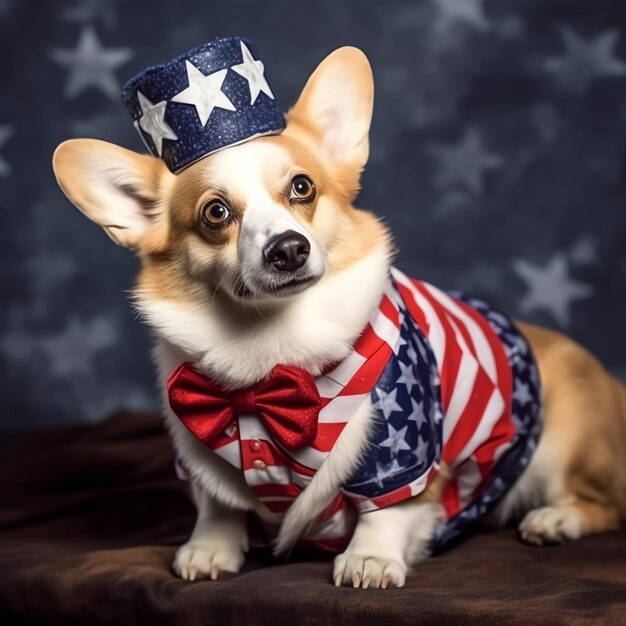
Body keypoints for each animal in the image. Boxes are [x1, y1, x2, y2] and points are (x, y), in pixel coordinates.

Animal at [52, 46, 624, 588]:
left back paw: (554, 521)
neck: (269, 352)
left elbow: (387, 508)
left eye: (302, 187)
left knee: (605, 506)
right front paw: (211, 547)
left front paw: (369, 558)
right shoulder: (200, 449)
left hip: (561, 445)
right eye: (216, 213)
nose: (288, 249)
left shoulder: (402, 449)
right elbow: (220, 505)